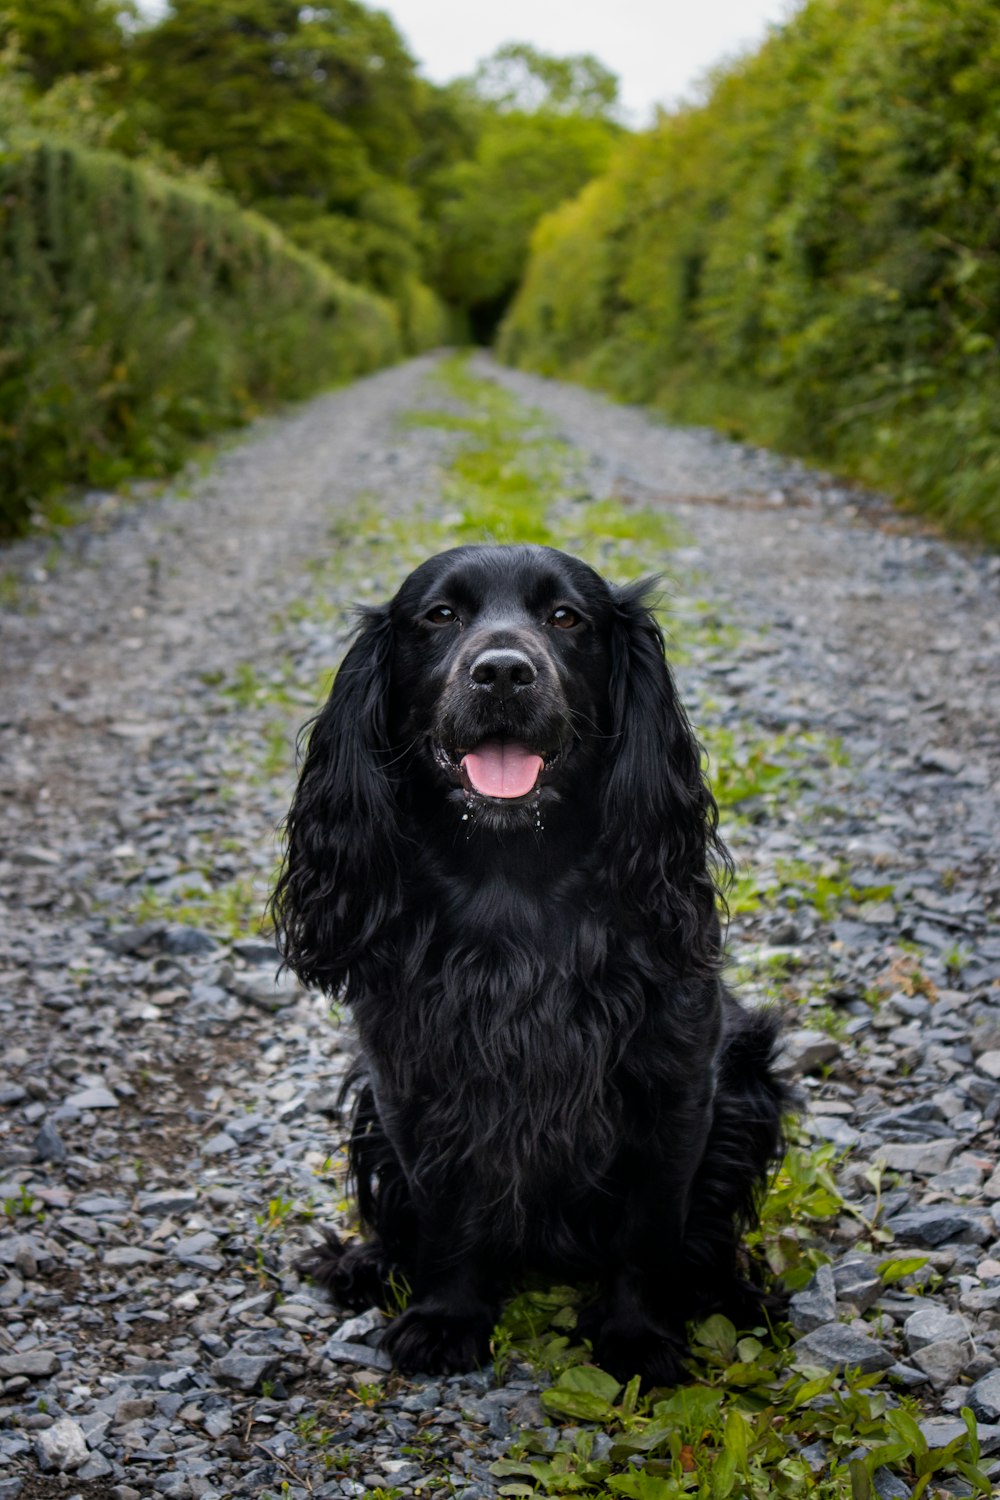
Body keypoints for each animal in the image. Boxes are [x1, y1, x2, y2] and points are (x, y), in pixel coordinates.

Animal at [269, 543, 785, 1380]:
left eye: (567, 617)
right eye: (441, 615)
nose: (504, 672)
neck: (514, 882)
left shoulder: (676, 1088)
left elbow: (649, 1231)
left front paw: (638, 1337)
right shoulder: (411, 1086)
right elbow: (443, 1214)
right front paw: (445, 1319)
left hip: (751, 1085)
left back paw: (732, 1293)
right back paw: (366, 1264)